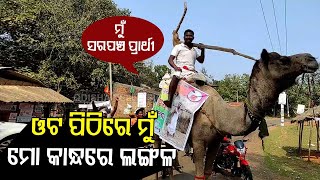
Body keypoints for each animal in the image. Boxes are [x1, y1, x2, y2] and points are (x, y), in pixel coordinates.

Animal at [154, 48, 318, 180]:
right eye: (283, 60)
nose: (312, 59)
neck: (218, 114)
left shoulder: (215, 143)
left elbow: (207, 172)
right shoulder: (198, 142)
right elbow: (199, 175)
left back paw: (173, 169)